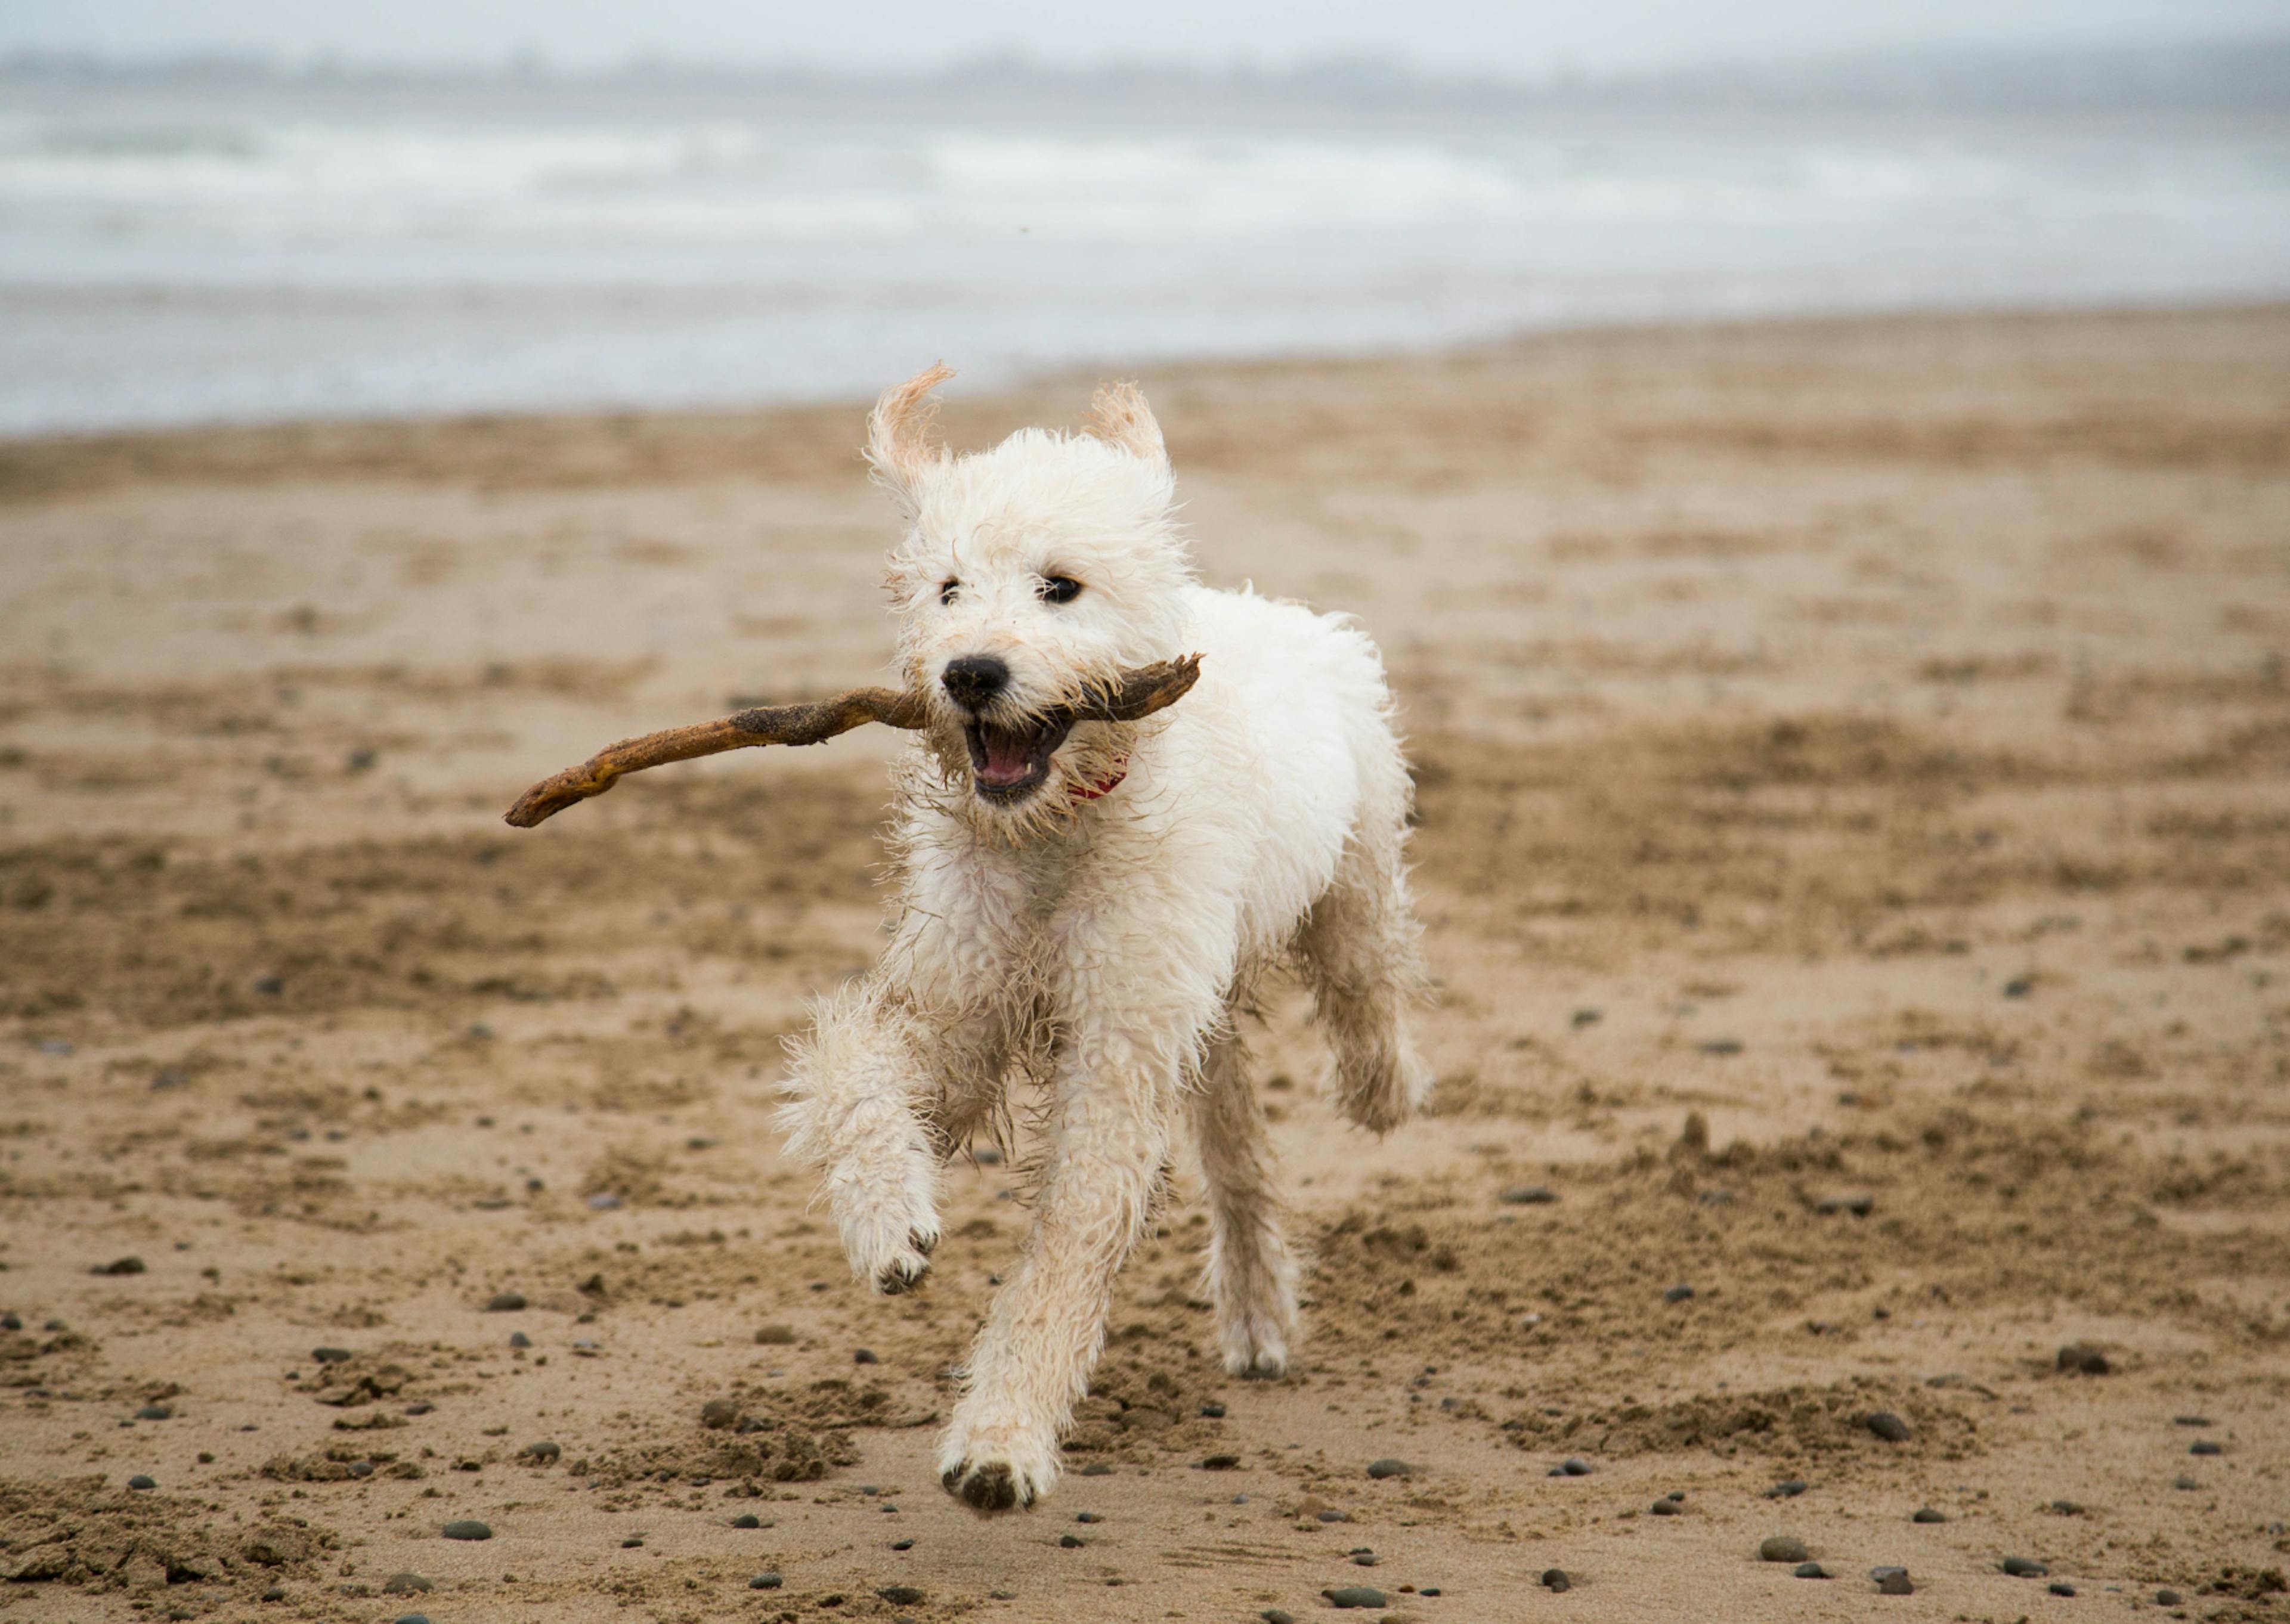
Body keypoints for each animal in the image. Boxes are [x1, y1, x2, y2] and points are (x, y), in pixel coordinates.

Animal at [787, 364, 1429, 1511]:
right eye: (948, 589)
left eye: (1061, 587)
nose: (970, 673)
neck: (1060, 828)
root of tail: (1259, 608)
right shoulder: (967, 1004)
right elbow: (853, 1064)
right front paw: (888, 1221)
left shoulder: (1118, 1048)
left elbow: (1067, 1245)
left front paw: (1000, 1441)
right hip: (1197, 996)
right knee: (1239, 1152)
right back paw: (1258, 1313)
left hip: (1349, 869)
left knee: (1369, 973)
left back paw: (1384, 1084)